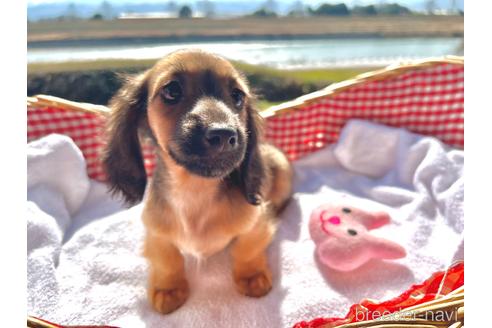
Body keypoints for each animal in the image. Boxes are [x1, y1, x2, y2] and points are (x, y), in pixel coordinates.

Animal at [101, 48, 290, 312]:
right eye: (172, 90)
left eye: (237, 96)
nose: (224, 135)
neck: (195, 190)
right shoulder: (156, 232)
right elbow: (167, 259)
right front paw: (169, 287)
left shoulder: (257, 221)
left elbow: (247, 248)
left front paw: (252, 276)